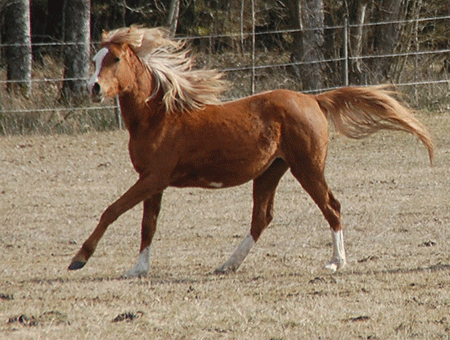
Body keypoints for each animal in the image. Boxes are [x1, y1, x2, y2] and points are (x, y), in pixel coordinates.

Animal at [68, 25, 434, 276]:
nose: (93, 88)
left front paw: (80, 259)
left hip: (307, 167)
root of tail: (314, 100)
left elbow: (112, 211)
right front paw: (138, 268)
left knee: (332, 207)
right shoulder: (153, 181)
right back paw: (228, 264)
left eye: (115, 58)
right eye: (95, 59)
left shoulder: (153, 178)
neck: (159, 117)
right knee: (262, 218)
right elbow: (148, 225)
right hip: (272, 171)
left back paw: (335, 262)